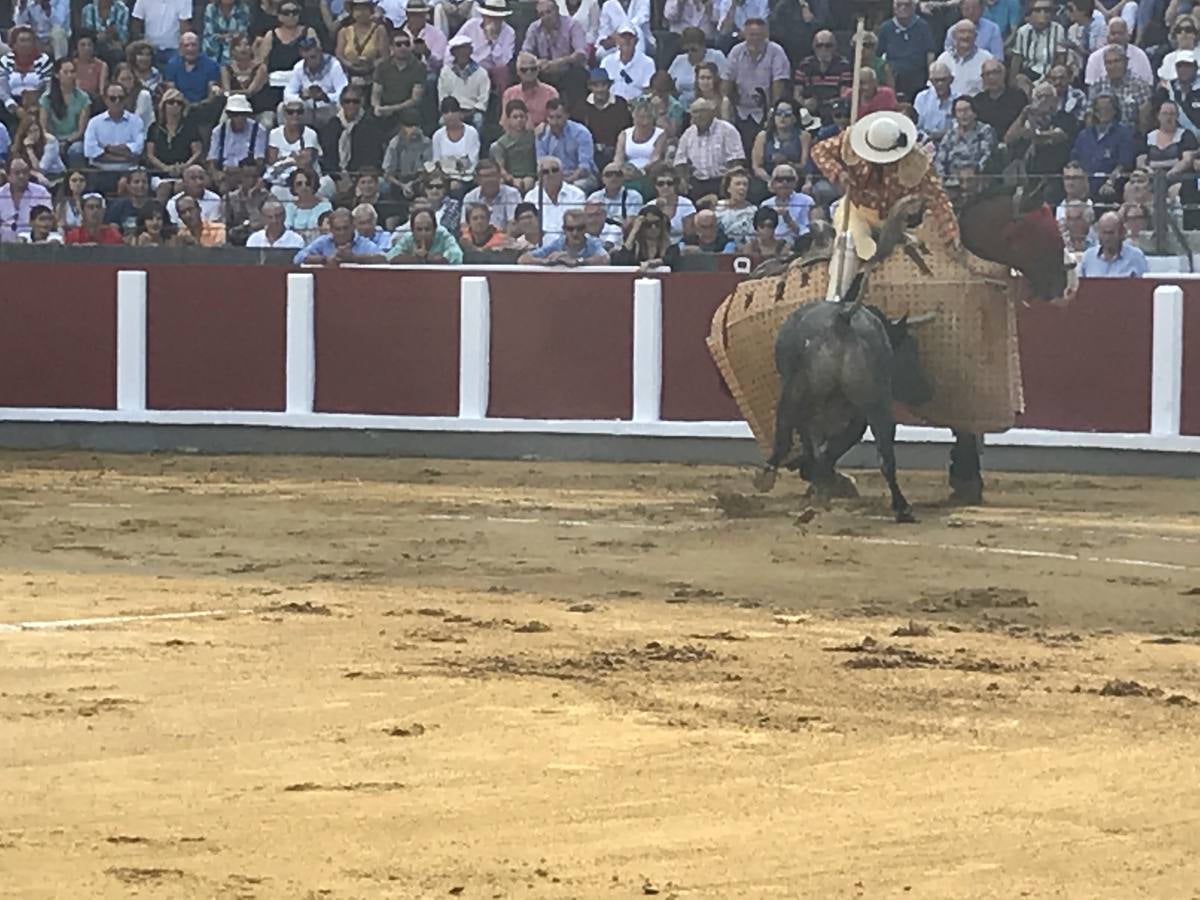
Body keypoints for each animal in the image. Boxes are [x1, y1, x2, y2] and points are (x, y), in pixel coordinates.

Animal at [753, 278, 931, 525]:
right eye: (910, 351)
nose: (926, 391)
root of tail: (842, 321)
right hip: (877, 404)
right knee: (884, 454)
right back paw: (901, 508)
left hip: (794, 394)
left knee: (785, 436)